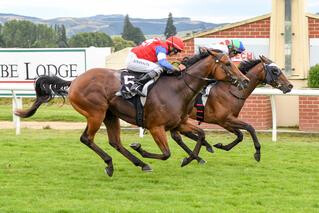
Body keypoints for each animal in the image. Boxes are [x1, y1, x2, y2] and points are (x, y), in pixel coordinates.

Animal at [15, 48, 250, 176]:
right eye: (227, 63)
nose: (245, 80)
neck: (178, 88)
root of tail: (74, 81)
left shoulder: (178, 123)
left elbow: (200, 135)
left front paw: (190, 159)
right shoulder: (156, 127)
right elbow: (166, 153)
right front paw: (141, 148)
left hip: (110, 115)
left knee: (115, 142)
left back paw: (141, 164)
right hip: (96, 113)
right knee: (87, 138)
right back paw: (112, 164)